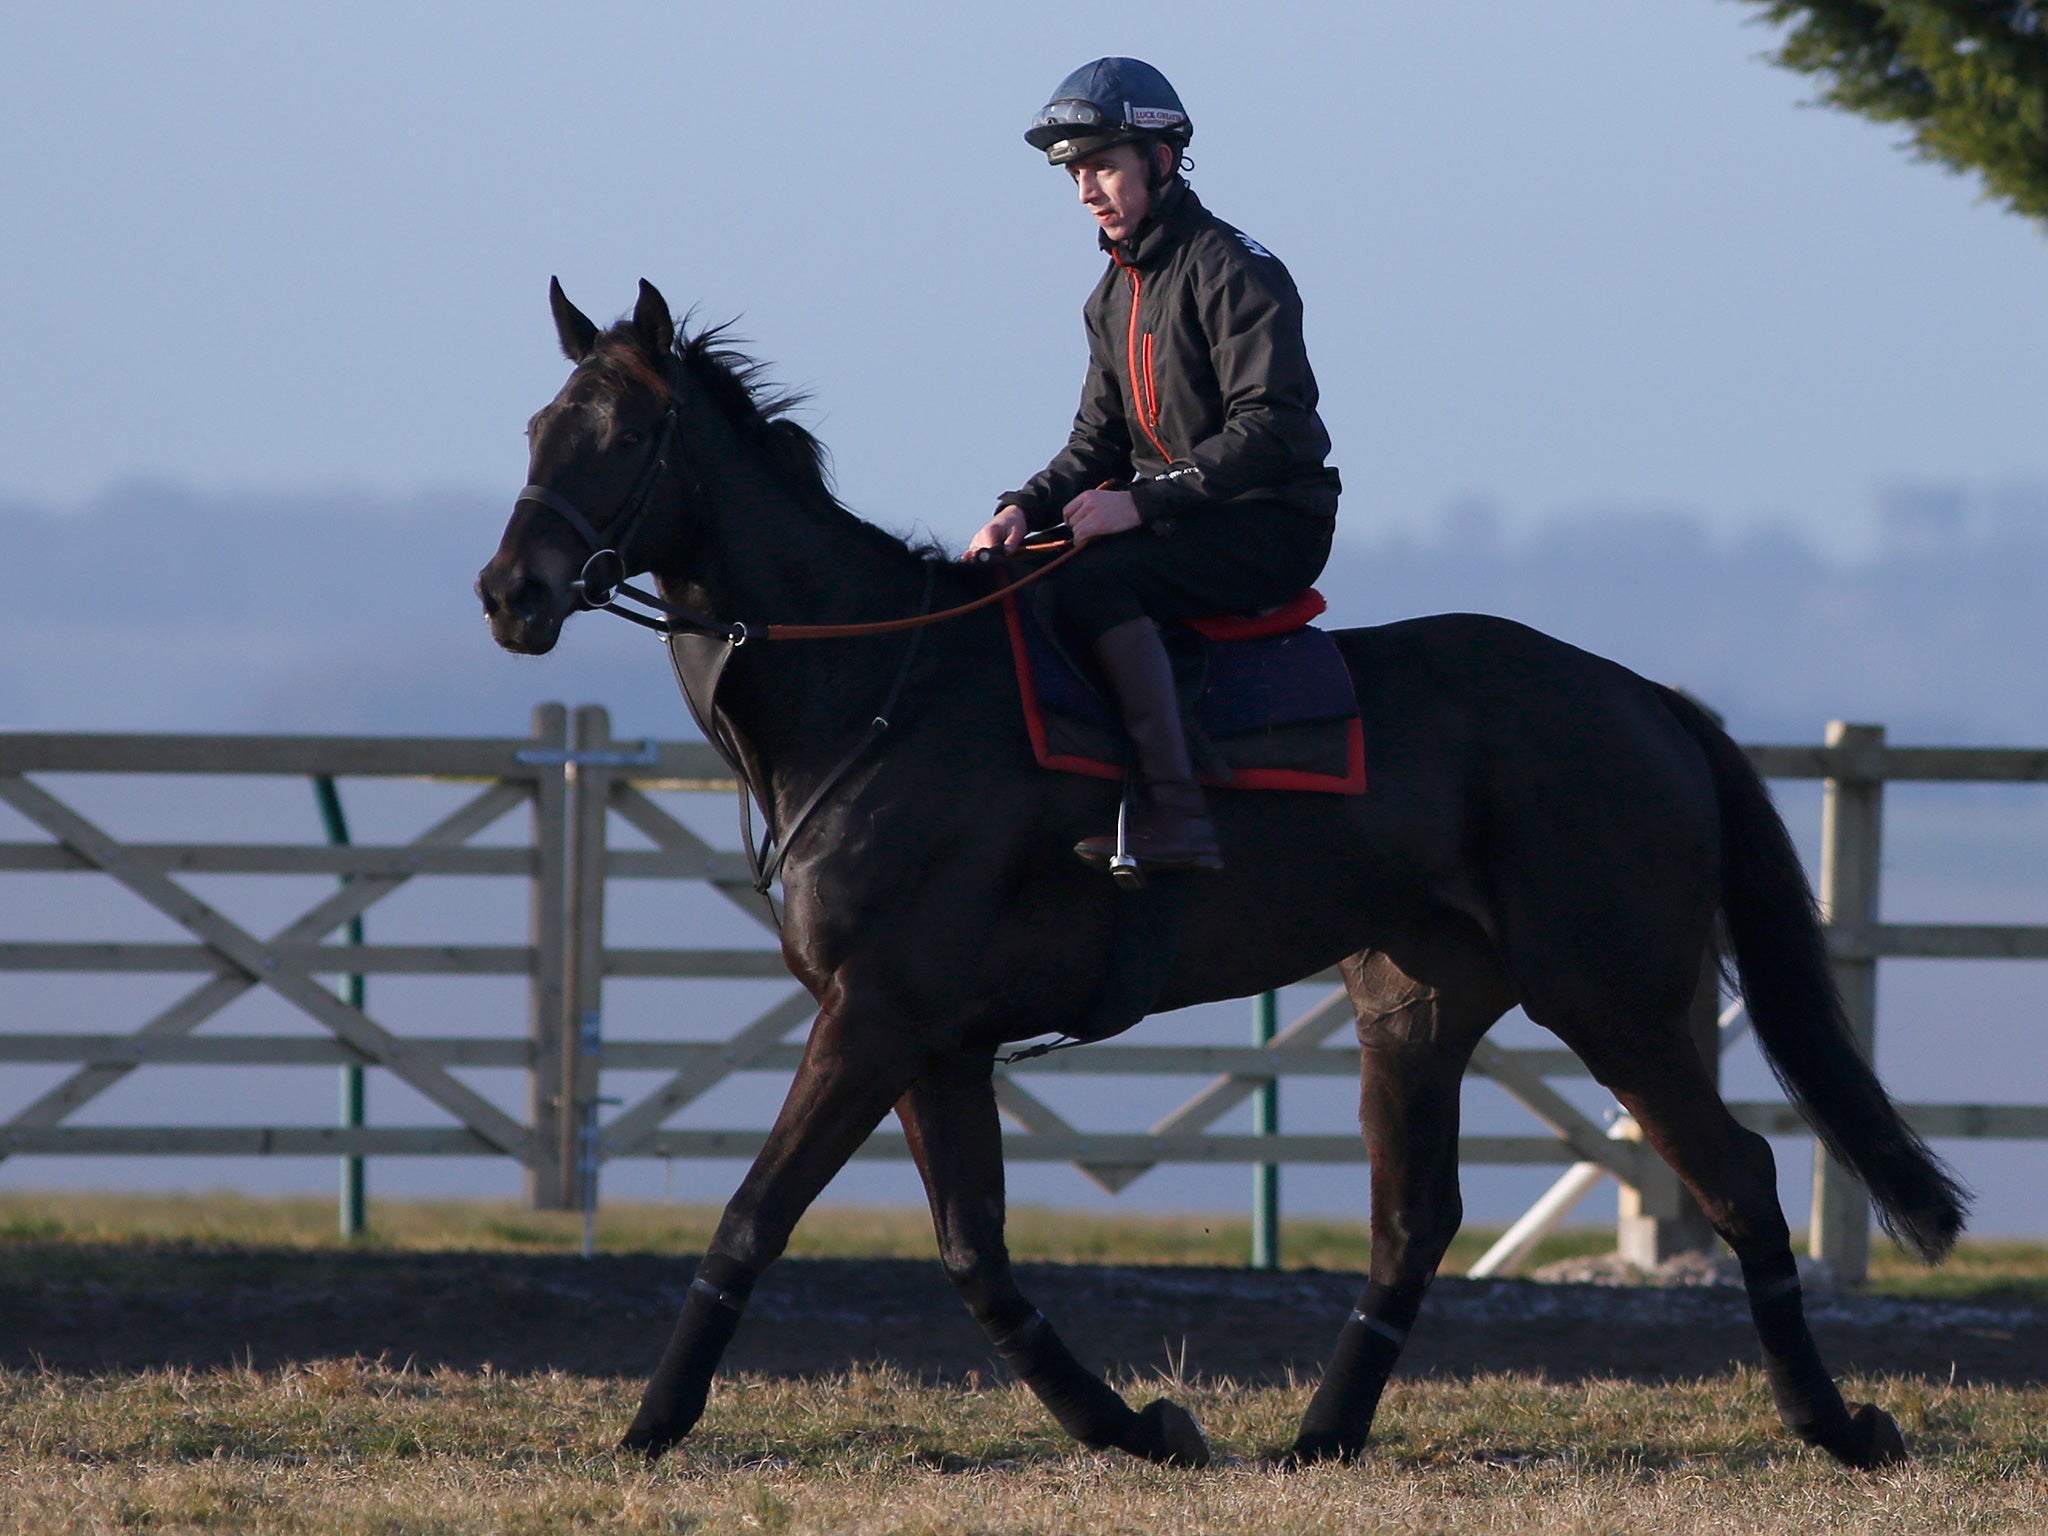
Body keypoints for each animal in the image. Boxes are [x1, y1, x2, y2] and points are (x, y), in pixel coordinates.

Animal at [479, 282, 1966, 1474]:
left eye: (623, 435)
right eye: (539, 426)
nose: (509, 593)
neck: (879, 688)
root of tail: (1641, 697)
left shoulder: (874, 1022)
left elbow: (754, 1220)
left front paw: (651, 1424)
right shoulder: (934, 1044)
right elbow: (977, 1259)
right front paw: (1139, 1427)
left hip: (1620, 1004)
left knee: (1739, 1181)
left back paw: (1838, 1427)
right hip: (1414, 1012)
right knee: (1411, 1222)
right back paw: (1322, 1437)